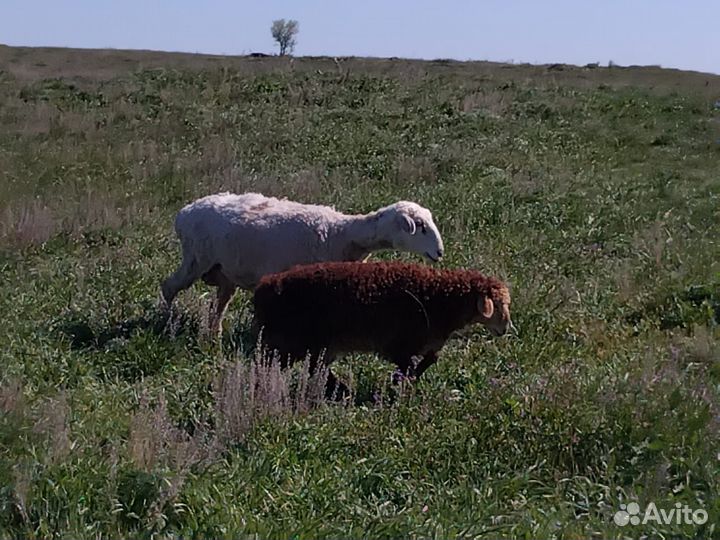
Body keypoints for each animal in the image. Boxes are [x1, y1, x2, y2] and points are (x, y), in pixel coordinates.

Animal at [160, 192, 445, 335]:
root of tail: (184, 212)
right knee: (168, 287)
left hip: (224, 272)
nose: (440, 252)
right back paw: (166, 323)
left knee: (217, 306)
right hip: (195, 259)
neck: (341, 233)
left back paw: (214, 335)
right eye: (419, 226)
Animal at [252, 261, 513, 398]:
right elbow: (409, 367)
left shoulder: (424, 342)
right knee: (272, 364)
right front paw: (399, 383)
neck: (439, 298)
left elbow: (430, 359)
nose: (506, 328)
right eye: (498, 305)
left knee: (314, 368)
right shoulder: (397, 344)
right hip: (293, 340)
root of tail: (265, 286)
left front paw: (401, 381)